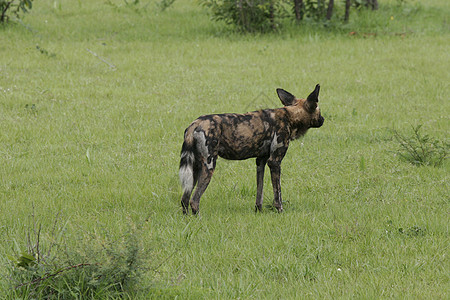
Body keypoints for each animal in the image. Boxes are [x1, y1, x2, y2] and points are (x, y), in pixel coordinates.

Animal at [178, 84, 324, 214]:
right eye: (319, 111)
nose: (323, 119)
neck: (290, 116)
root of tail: (195, 123)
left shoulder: (261, 162)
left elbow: (260, 192)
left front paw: (258, 211)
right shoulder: (274, 162)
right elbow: (278, 193)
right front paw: (280, 211)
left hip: (195, 168)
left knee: (184, 199)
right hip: (209, 166)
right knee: (194, 200)